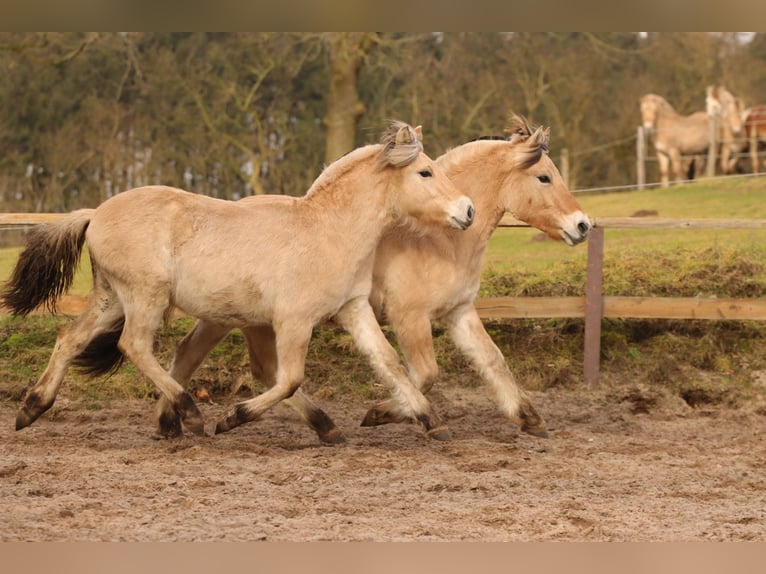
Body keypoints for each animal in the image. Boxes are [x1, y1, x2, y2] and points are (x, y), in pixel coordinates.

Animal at [1, 121, 476, 440]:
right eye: (425, 173)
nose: (468, 211)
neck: (328, 231)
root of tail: (96, 213)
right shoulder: (293, 322)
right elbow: (289, 379)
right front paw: (233, 417)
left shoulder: (352, 310)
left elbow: (390, 363)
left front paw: (428, 420)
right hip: (145, 296)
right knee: (134, 345)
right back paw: (190, 413)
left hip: (111, 298)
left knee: (70, 339)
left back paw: (31, 410)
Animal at [163, 113, 592, 442]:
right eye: (544, 177)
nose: (583, 225)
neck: (438, 239)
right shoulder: (410, 318)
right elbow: (423, 374)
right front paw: (385, 414)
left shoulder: (459, 313)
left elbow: (492, 361)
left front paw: (529, 418)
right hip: (238, 317)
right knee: (235, 365)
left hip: (240, 318)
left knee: (203, 359)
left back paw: (177, 423)